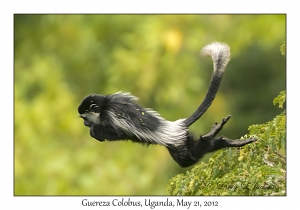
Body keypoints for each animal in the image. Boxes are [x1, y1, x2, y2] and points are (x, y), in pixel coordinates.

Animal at [77, 42, 255, 167]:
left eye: (85, 118)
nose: (85, 123)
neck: (104, 107)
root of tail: (175, 125)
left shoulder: (110, 116)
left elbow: (113, 132)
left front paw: (95, 131)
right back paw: (217, 136)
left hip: (177, 144)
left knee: (189, 158)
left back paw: (221, 141)